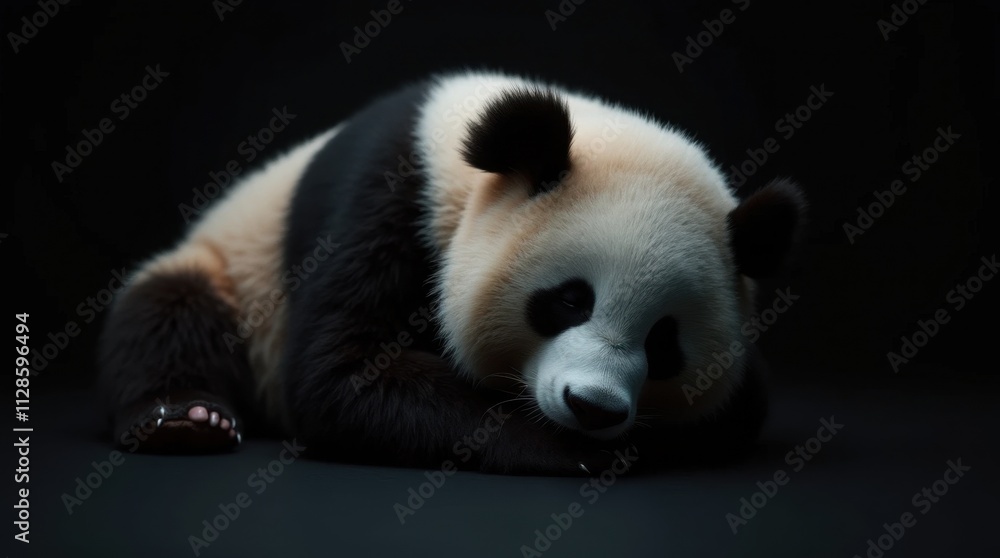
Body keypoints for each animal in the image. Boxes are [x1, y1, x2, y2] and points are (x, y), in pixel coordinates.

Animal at [98, 71, 805, 475]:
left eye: (665, 342)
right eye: (569, 300)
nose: (593, 407)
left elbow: (743, 408)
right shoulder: (389, 194)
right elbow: (343, 374)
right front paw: (567, 449)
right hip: (231, 267)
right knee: (167, 313)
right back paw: (186, 418)